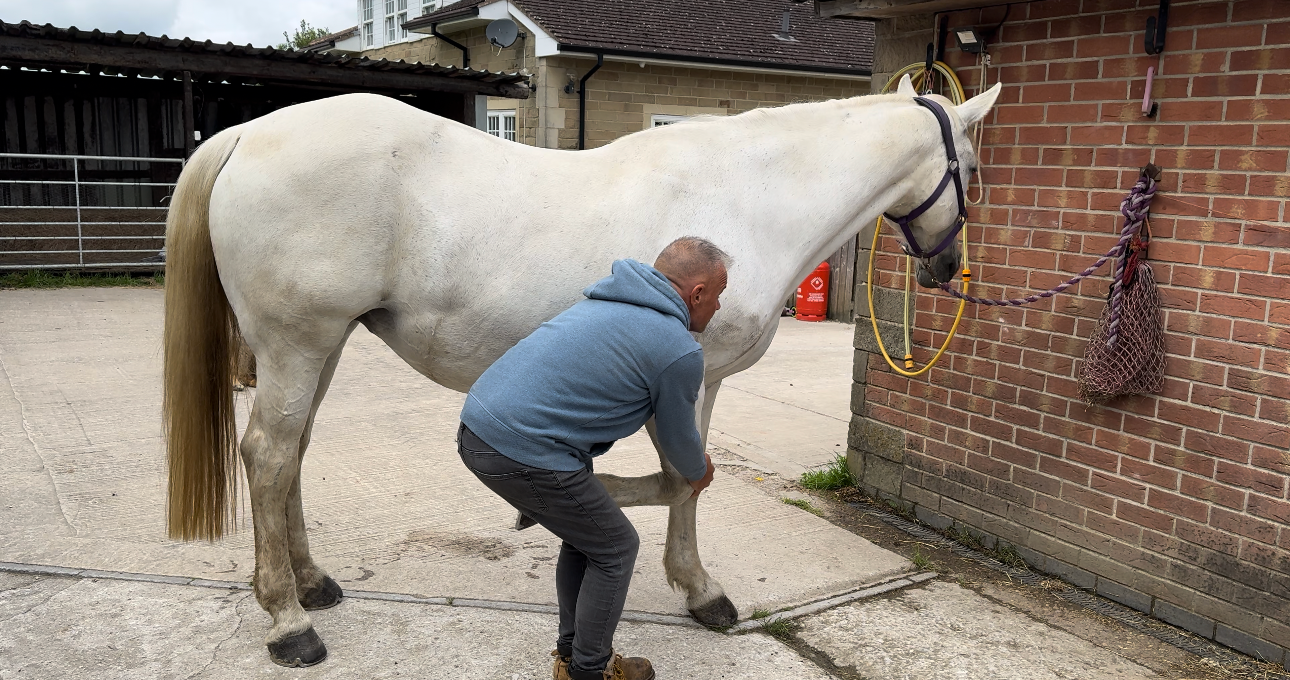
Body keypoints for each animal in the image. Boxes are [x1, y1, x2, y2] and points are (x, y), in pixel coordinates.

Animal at [162, 74, 1002, 666]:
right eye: (972, 166)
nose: (946, 268)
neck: (749, 198)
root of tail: (245, 134)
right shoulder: (695, 378)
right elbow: (687, 481)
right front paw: (700, 591)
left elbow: (682, 481)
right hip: (298, 345)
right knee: (269, 458)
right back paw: (289, 622)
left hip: (321, 347)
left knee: (292, 455)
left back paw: (311, 584)